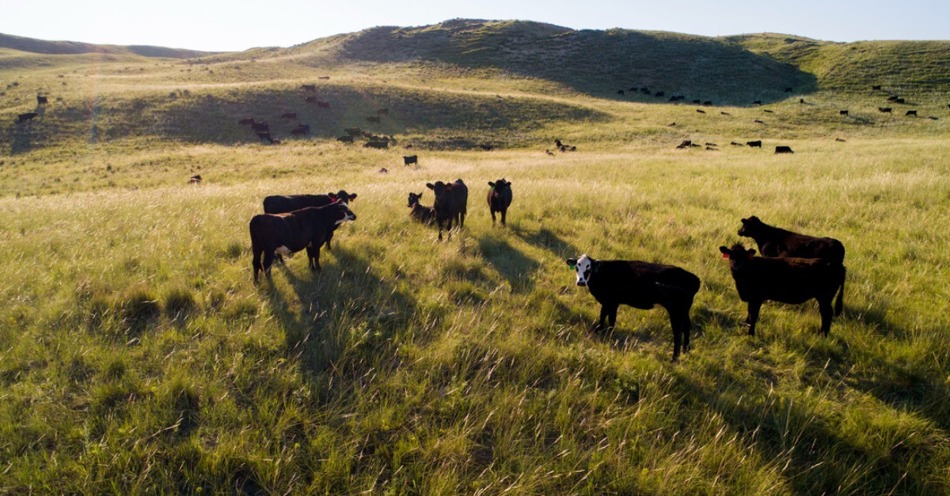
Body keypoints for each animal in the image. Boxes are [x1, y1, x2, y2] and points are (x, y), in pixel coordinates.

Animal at [565, 254, 700, 361]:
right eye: (577, 267)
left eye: (589, 268)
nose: (581, 282)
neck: (603, 274)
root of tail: (694, 278)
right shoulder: (611, 302)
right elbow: (607, 317)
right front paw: (602, 331)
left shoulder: (611, 301)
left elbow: (607, 317)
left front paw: (605, 333)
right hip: (684, 310)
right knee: (687, 326)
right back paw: (686, 350)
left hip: (676, 310)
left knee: (677, 332)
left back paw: (674, 358)